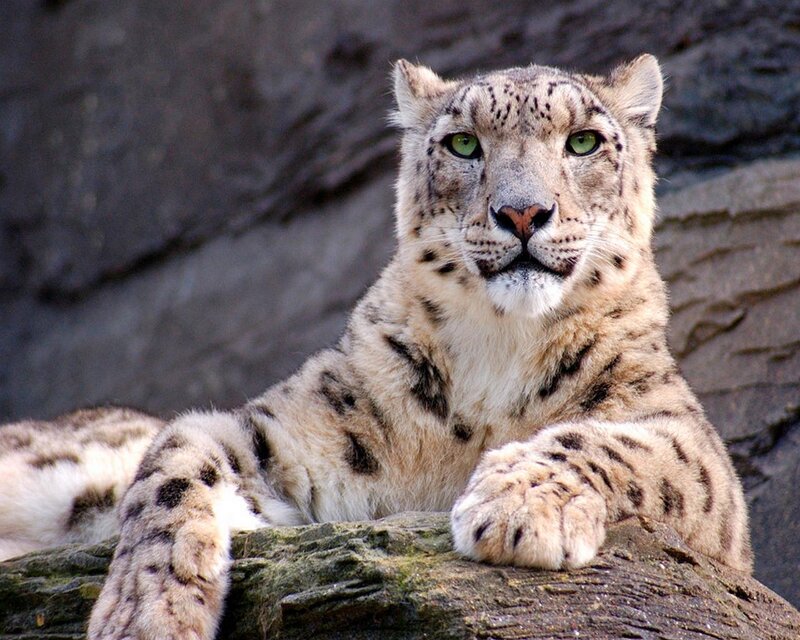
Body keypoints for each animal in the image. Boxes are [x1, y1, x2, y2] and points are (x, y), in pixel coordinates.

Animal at [0, 55, 752, 640]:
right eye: (464, 145)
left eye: (585, 141)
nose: (522, 213)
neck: (501, 350)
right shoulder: (280, 435)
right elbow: (170, 468)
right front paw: (144, 613)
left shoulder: (699, 461)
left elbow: (614, 443)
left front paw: (517, 507)